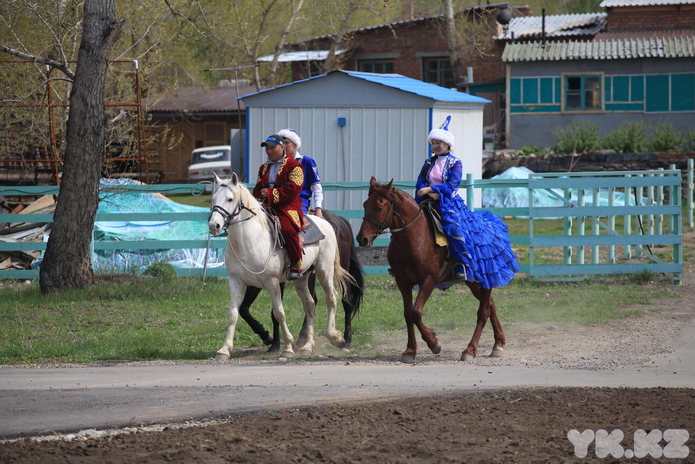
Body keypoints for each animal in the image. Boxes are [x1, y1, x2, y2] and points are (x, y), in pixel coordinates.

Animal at [208, 173, 354, 358]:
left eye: (230, 199)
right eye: (213, 199)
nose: (214, 225)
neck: (250, 240)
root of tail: (327, 222)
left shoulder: (272, 283)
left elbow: (279, 314)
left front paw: (287, 348)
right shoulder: (236, 281)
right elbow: (234, 313)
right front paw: (224, 349)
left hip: (324, 270)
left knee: (332, 298)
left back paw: (337, 338)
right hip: (302, 278)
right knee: (310, 304)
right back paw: (308, 346)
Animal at [358, 177, 506, 362]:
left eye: (379, 207)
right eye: (365, 204)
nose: (362, 239)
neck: (413, 239)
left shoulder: (428, 280)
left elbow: (415, 312)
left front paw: (434, 342)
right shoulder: (403, 282)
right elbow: (408, 314)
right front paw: (410, 351)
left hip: (484, 279)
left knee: (483, 311)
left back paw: (470, 350)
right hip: (472, 282)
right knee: (491, 305)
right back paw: (498, 344)